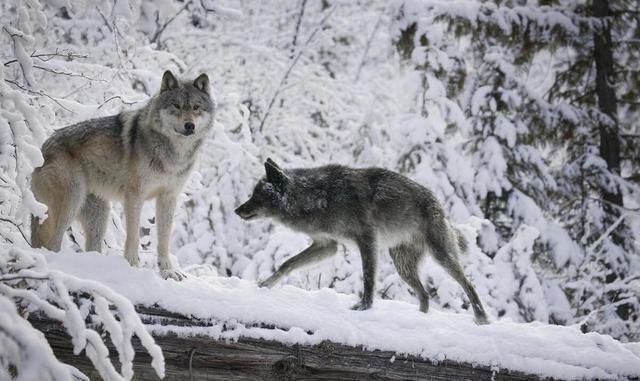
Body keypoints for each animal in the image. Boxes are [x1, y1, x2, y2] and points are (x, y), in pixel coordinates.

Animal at [30, 71, 215, 280]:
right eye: (176, 105)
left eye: (196, 107)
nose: (189, 125)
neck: (173, 153)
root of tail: (42, 148)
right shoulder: (135, 195)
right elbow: (134, 235)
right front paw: (132, 265)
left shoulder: (168, 197)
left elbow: (164, 239)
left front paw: (167, 270)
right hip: (71, 202)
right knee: (52, 243)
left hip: (99, 214)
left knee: (91, 247)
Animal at [235, 158, 490, 324]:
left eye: (257, 195)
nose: (237, 210)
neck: (320, 196)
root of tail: (438, 203)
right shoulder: (326, 246)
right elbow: (287, 263)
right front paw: (266, 284)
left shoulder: (366, 240)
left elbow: (368, 278)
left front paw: (364, 307)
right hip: (403, 267)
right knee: (425, 294)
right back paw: (420, 318)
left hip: (441, 257)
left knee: (468, 284)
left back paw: (482, 318)